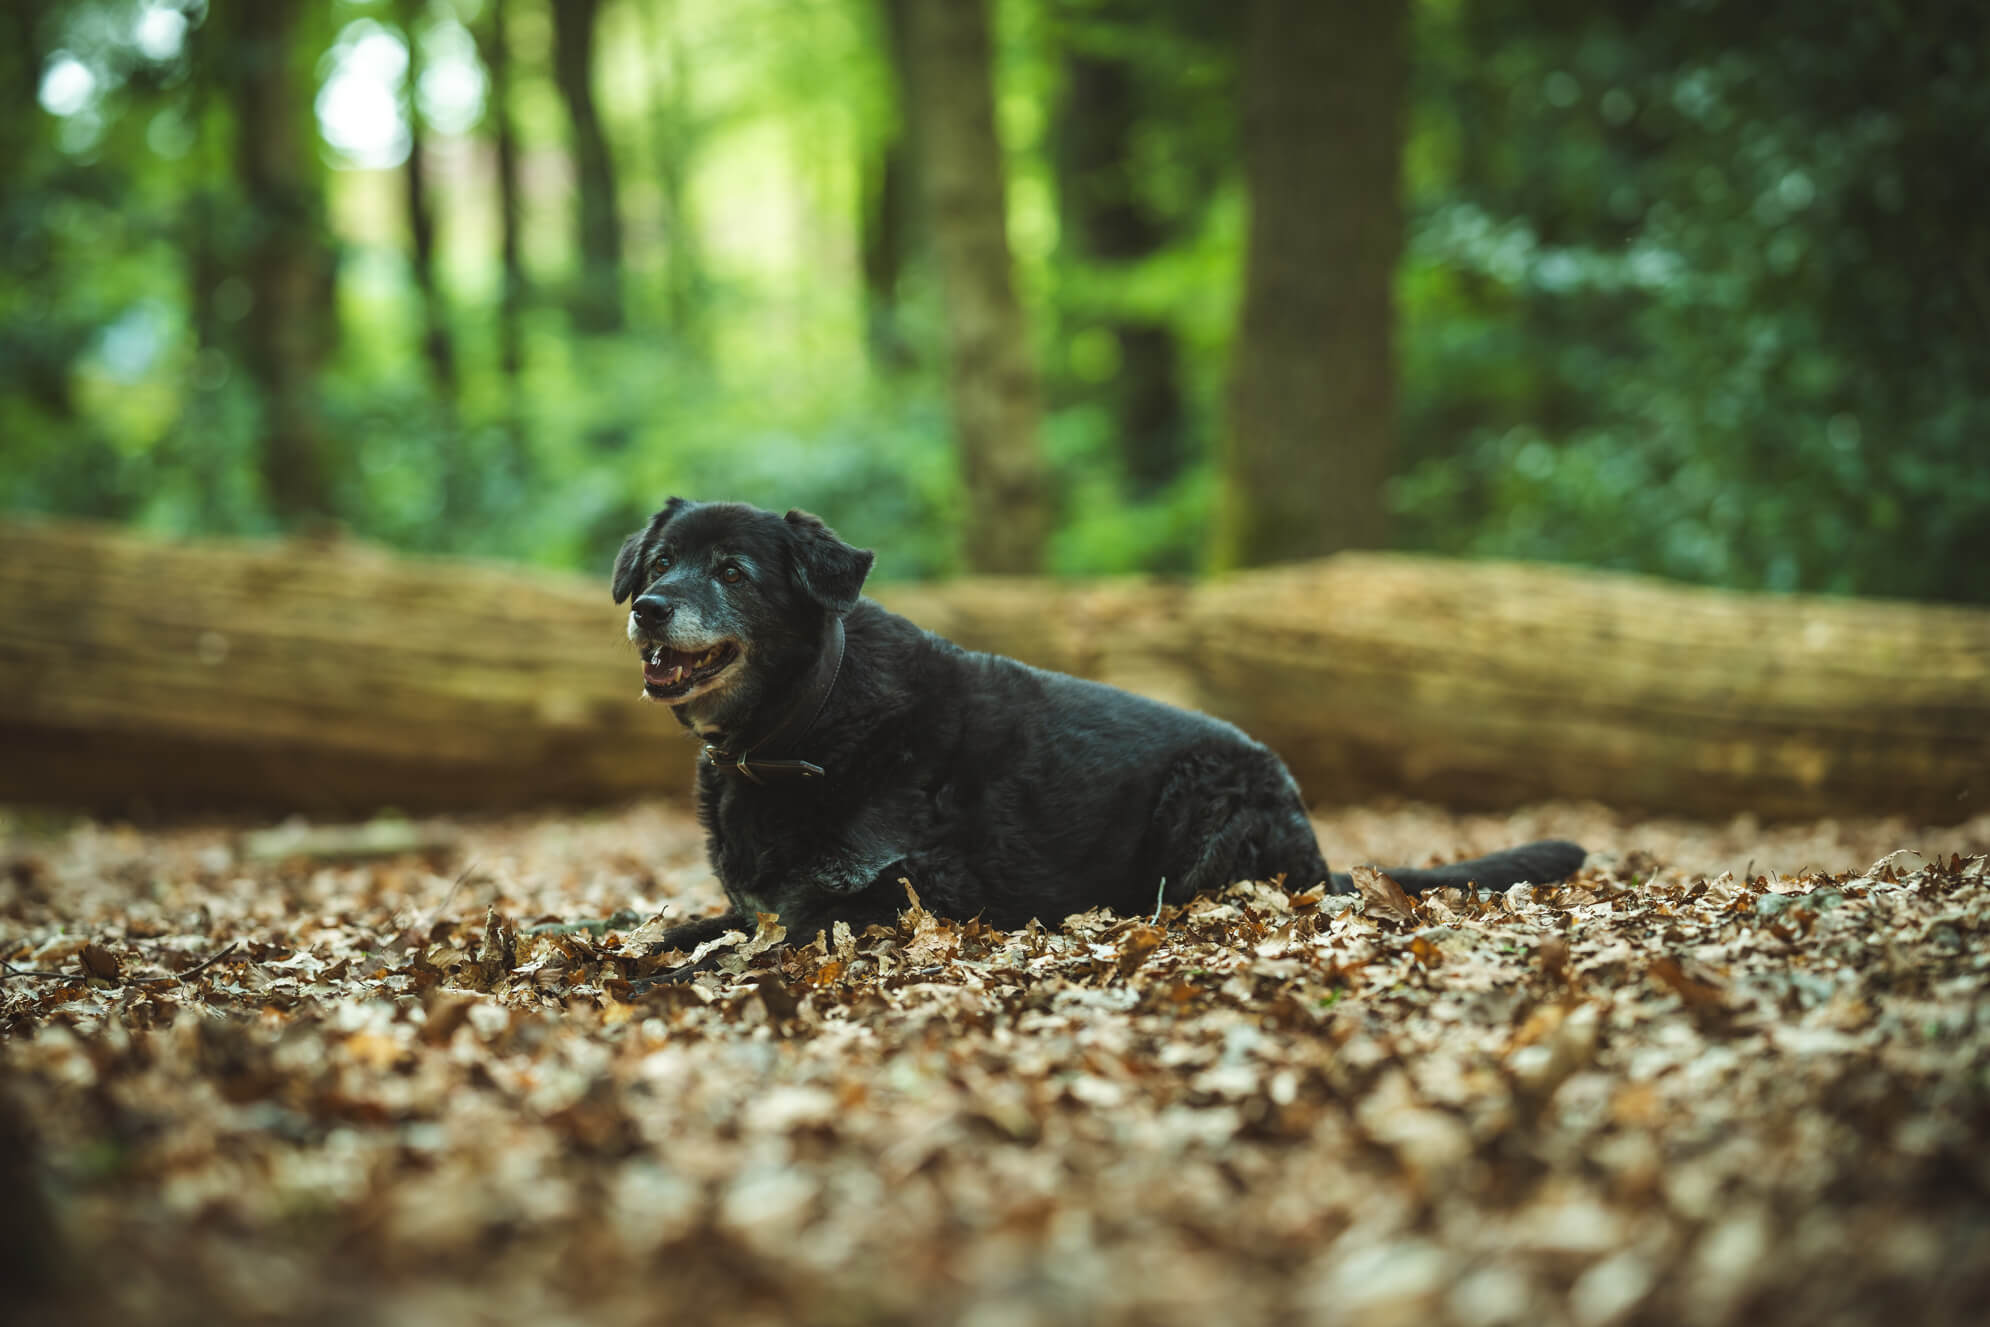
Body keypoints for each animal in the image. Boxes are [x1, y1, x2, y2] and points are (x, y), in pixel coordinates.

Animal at [612, 497, 1576, 966]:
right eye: (658, 563)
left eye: (733, 572)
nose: (649, 606)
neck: (807, 725)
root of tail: (1312, 841)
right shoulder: (754, 900)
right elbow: (679, 931)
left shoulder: (896, 896)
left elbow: (753, 941)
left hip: (1200, 810)